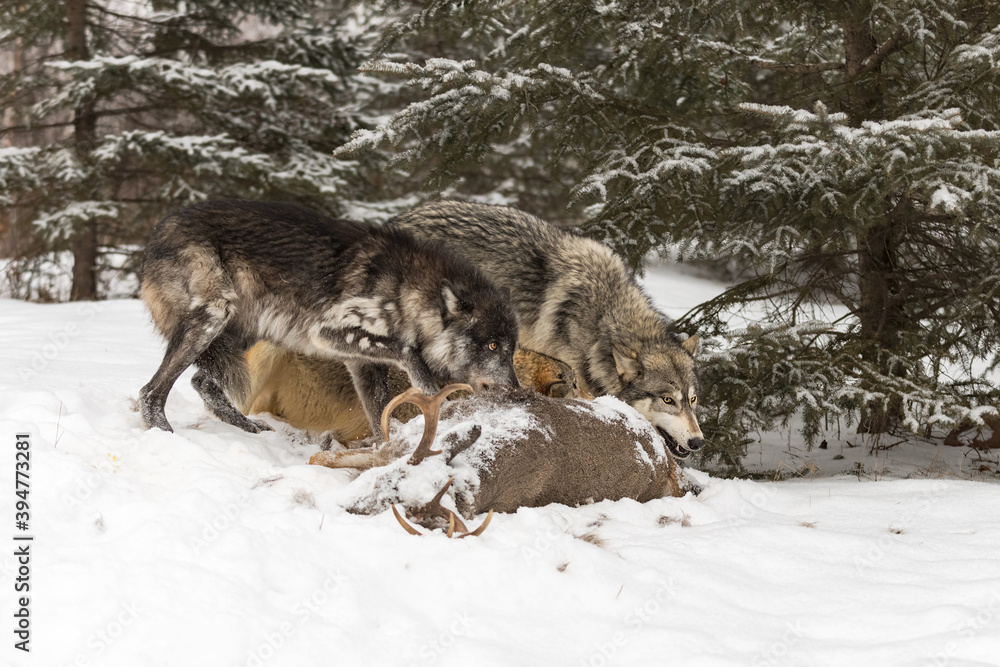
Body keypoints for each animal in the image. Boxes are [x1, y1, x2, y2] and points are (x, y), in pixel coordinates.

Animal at [138, 199, 519, 435]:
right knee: (149, 391)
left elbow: (380, 417)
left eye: (511, 350)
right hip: (214, 317)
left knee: (201, 383)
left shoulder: (363, 364)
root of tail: (157, 233)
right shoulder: (327, 332)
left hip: (247, 330)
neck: (406, 289)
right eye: (491, 345)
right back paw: (162, 432)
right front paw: (430, 390)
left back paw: (248, 427)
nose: (516, 391)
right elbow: (408, 353)